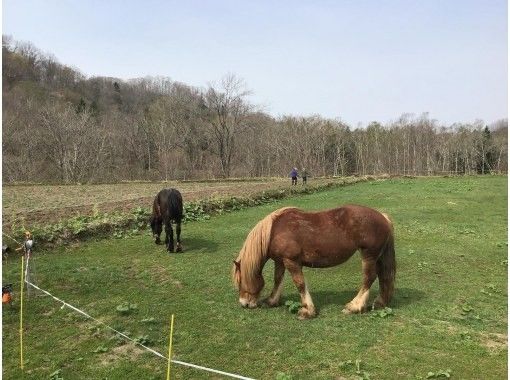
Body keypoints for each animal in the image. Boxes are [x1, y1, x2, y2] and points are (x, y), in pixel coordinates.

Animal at [233, 205, 396, 318]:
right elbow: (277, 279)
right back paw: (380, 302)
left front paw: (307, 310)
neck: (274, 231)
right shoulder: (280, 261)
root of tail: (383, 217)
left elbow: (300, 284)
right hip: (377, 256)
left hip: (369, 255)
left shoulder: (291, 262)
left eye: (240, 281)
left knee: (369, 278)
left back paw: (354, 306)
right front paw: (272, 301)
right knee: (383, 276)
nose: (244, 303)